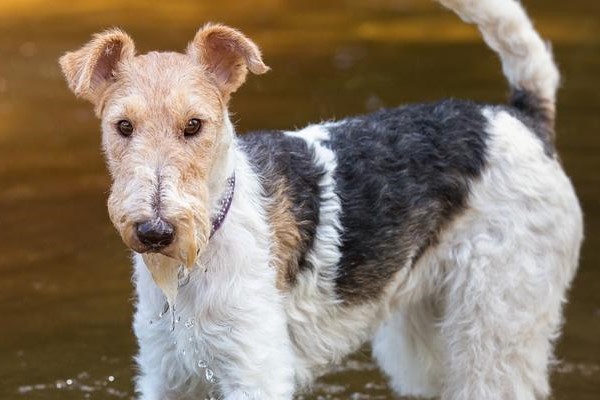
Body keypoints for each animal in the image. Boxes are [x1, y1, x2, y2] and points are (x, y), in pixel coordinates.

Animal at [59, 0, 580, 398]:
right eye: (123, 126)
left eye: (194, 125)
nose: (156, 231)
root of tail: (520, 117)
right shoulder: (167, 373)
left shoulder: (255, 369)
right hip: (423, 334)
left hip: (497, 322)